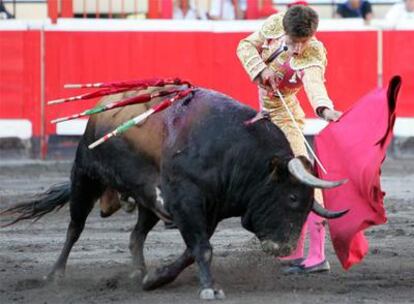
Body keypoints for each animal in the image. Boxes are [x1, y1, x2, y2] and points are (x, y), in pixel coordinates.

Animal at [0, 87, 346, 300]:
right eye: (292, 198)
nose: (283, 247)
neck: (232, 151)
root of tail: (100, 111)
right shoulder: (186, 203)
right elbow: (202, 249)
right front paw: (210, 289)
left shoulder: (207, 211)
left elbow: (193, 251)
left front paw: (155, 278)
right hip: (85, 175)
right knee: (74, 228)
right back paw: (55, 275)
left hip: (146, 200)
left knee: (135, 235)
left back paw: (137, 272)